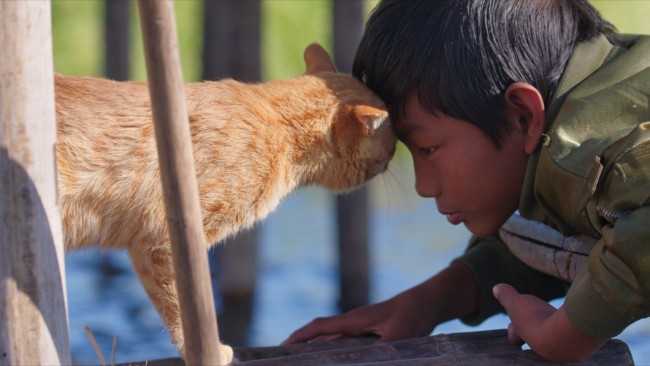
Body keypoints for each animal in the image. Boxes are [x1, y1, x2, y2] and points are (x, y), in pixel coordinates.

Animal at [54, 44, 394, 362]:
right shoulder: (167, 238)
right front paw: (208, 351)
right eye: (392, 146)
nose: (393, 159)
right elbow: (185, 306)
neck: (278, 124)